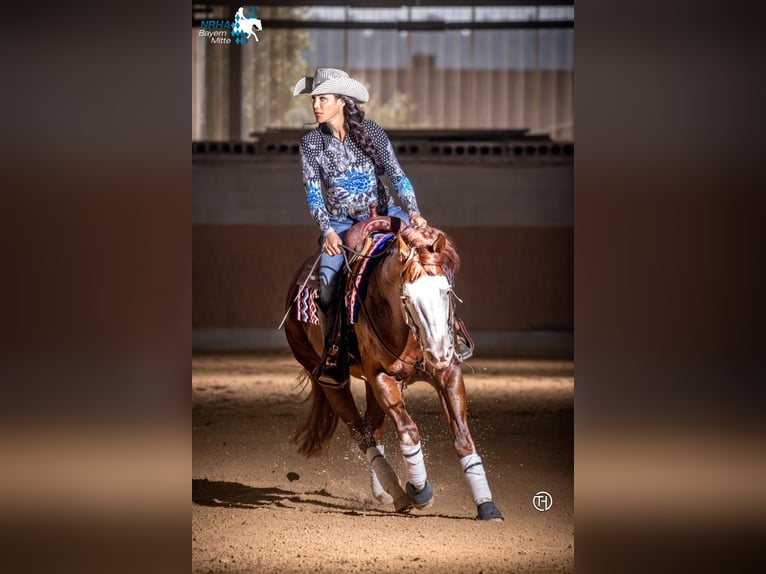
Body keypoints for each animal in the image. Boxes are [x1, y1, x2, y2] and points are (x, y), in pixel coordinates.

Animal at [284, 217, 504, 520]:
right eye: (407, 297)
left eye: (446, 291)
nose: (438, 351)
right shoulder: (382, 378)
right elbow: (409, 430)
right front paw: (420, 491)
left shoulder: (448, 374)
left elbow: (462, 437)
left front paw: (486, 504)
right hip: (331, 381)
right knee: (361, 434)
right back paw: (399, 494)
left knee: (372, 429)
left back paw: (386, 491)